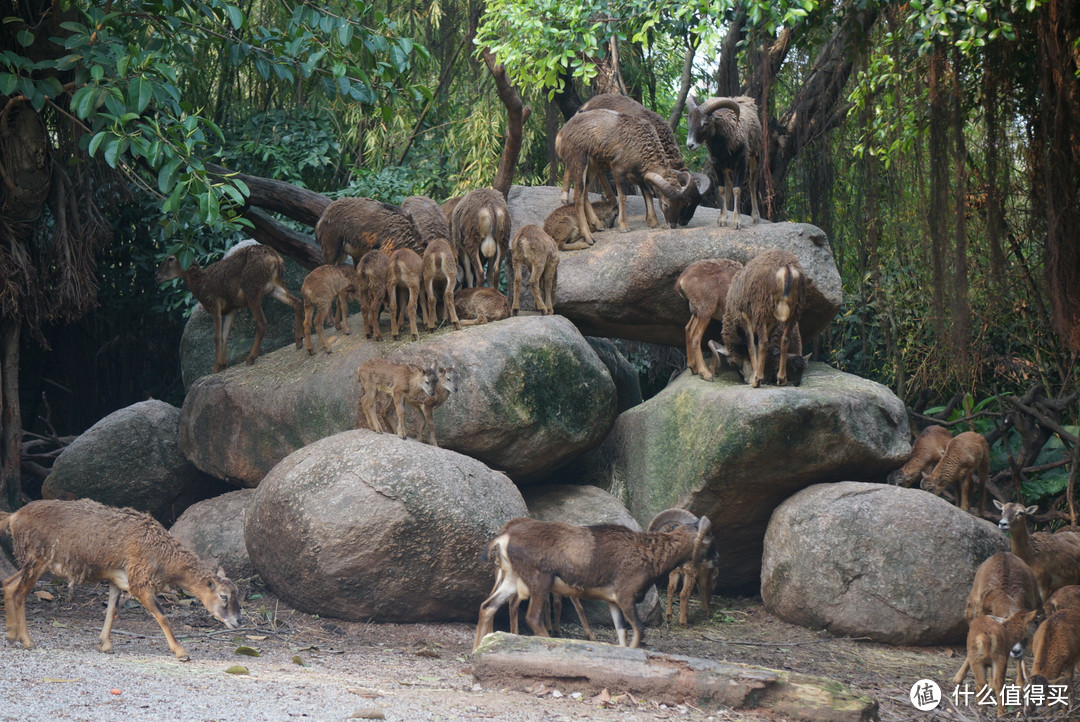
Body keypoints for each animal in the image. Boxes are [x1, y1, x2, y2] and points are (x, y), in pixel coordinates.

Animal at [686, 93, 764, 227]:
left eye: (704, 123)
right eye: (689, 122)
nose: (690, 145)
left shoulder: (742, 163)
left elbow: (737, 189)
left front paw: (737, 222)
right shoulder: (717, 165)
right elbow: (722, 189)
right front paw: (722, 219)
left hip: (755, 158)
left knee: (752, 184)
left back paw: (755, 217)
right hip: (727, 169)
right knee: (728, 185)